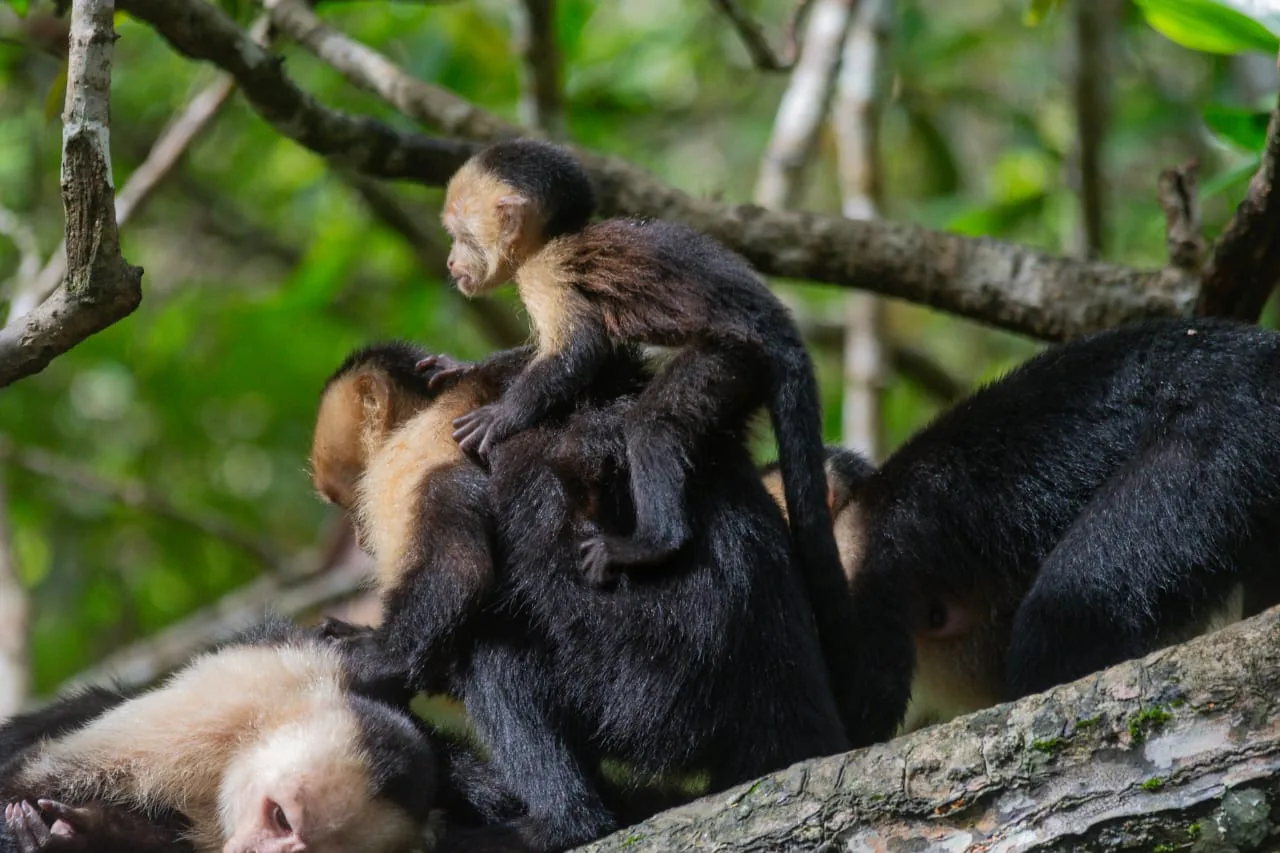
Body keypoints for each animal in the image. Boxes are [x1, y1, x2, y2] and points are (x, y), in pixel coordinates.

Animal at [310, 341, 871, 852]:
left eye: (346, 497)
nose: (356, 537)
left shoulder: (412, 461)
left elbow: (458, 572)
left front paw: (370, 659)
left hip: (649, 687)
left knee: (492, 650)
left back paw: (558, 825)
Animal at [436, 139, 908, 747]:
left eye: (459, 234)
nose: (451, 264)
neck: (556, 236)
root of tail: (782, 329)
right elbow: (598, 359)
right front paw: (460, 368)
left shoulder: (549, 271)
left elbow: (582, 350)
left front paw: (500, 417)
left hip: (735, 358)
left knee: (654, 427)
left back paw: (653, 541)